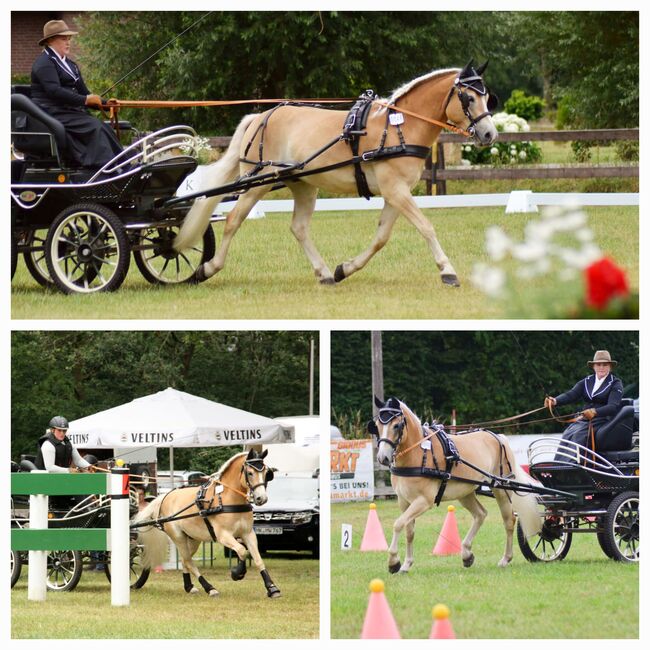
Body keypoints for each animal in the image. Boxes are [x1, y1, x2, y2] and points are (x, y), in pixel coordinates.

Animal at [133, 450, 280, 596]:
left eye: (266, 473)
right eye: (250, 473)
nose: (261, 498)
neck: (227, 499)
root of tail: (165, 496)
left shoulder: (248, 534)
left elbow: (257, 559)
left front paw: (272, 588)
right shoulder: (223, 536)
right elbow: (242, 551)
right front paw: (237, 573)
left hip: (193, 539)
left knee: (185, 560)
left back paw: (189, 586)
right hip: (178, 537)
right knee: (188, 561)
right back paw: (209, 588)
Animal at [172, 58, 496, 286]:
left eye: (486, 96)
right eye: (468, 98)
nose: (489, 134)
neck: (398, 127)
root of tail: (261, 116)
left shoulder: (395, 193)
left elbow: (381, 237)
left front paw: (345, 269)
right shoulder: (396, 190)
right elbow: (426, 226)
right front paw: (447, 271)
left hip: (302, 184)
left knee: (299, 228)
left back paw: (325, 272)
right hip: (256, 183)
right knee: (233, 221)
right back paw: (208, 268)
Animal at [368, 392, 540, 568]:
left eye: (396, 426)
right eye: (377, 425)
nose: (383, 458)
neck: (419, 453)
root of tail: (498, 437)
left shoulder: (424, 501)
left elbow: (397, 524)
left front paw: (393, 562)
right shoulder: (404, 501)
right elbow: (408, 530)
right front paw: (406, 564)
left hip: (501, 489)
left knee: (509, 520)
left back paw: (506, 558)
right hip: (465, 492)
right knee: (480, 514)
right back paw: (466, 554)